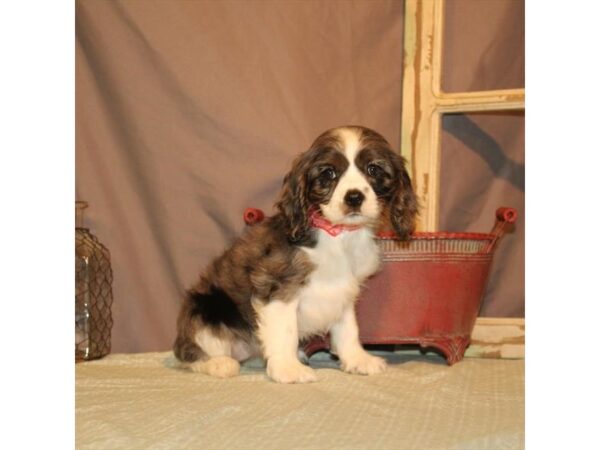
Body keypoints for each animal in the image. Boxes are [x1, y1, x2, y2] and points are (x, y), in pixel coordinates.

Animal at [173, 126, 418, 384]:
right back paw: (219, 364)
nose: (353, 197)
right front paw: (287, 368)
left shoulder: (345, 291)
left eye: (374, 169)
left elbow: (348, 329)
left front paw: (357, 359)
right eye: (329, 173)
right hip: (206, 310)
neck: (337, 235)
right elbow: (285, 331)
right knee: (189, 354)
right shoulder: (277, 285)